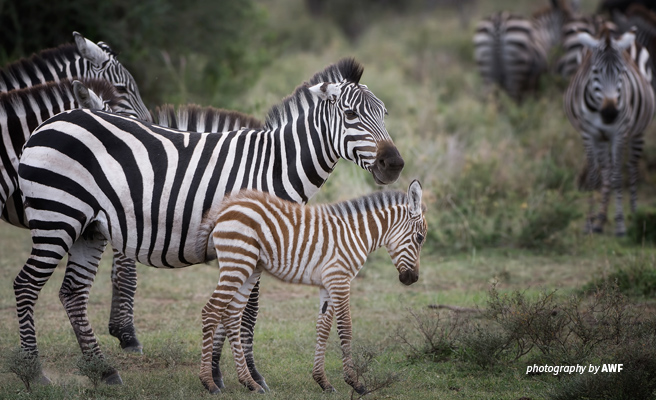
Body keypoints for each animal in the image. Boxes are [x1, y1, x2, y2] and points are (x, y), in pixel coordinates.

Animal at [15, 58, 405, 386]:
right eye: (351, 114)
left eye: (385, 113)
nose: (394, 164)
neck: (272, 166)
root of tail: (51, 121)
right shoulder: (250, 242)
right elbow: (245, 310)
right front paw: (246, 374)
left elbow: (236, 308)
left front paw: (219, 372)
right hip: (57, 216)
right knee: (27, 285)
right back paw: (35, 375)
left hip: (89, 228)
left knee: (73, 293)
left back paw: (103, 371)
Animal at [199, 180, 426, 394]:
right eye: (420, 238)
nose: (413, 278)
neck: (356, 234)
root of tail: (226, 207)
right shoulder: (340, 279)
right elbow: (346, 327)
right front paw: (355, 383)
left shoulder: (328, 284)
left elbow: (323, 328)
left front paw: (323, 381)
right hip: (238, 263)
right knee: (211, 311)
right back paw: (209, 383)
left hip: (249, 268)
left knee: (231, 316)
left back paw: (250, 383)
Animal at [564, 25, 655, 235]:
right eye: (595, 71)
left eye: (622, 71)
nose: (610, 113)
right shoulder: (589, 135)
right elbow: (594, 176)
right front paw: (589, 223)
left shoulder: (618, 134)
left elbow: (616, 176)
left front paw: (620, 225)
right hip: (602, 138)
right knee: (605, 170)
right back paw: (600, 220)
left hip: (637, 131)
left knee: (631, 167)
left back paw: (634, 214)